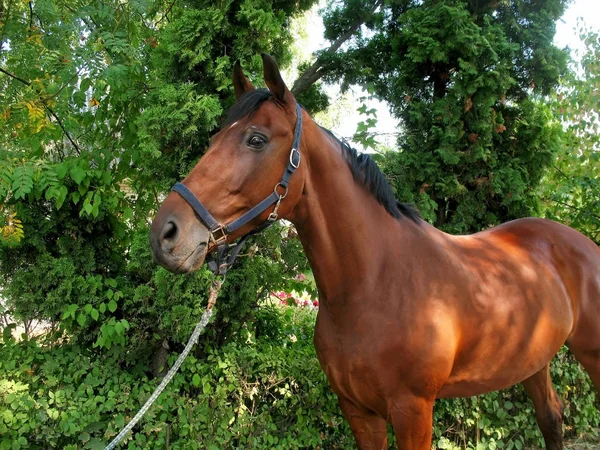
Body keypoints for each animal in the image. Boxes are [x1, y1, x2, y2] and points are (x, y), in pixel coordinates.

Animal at [151, 53, 600, 450]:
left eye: (256, 139)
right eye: (214, 137)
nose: (164, 234)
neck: (374, 285)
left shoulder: (413, 414)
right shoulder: (358, 411)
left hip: (591, 355)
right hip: (535, 362)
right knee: (551, 420)